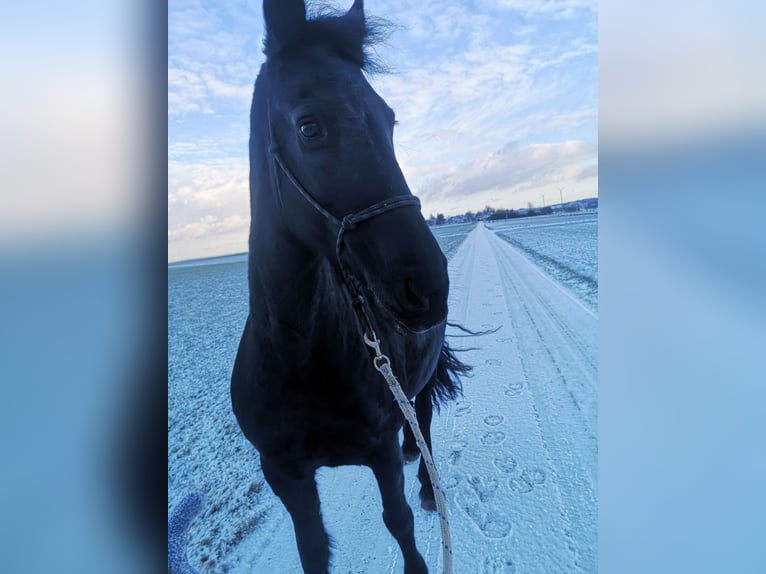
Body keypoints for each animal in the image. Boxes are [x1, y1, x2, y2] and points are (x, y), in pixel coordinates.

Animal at [230, 1, 470, 572]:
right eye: (309, 127)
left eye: (388, 120)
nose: (428, 286)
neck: (297, 355)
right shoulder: (284, 473)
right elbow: (312, 549)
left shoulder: (377, 452)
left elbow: (399, 522)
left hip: (421, 382)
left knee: (423, 418)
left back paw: (426, 482)